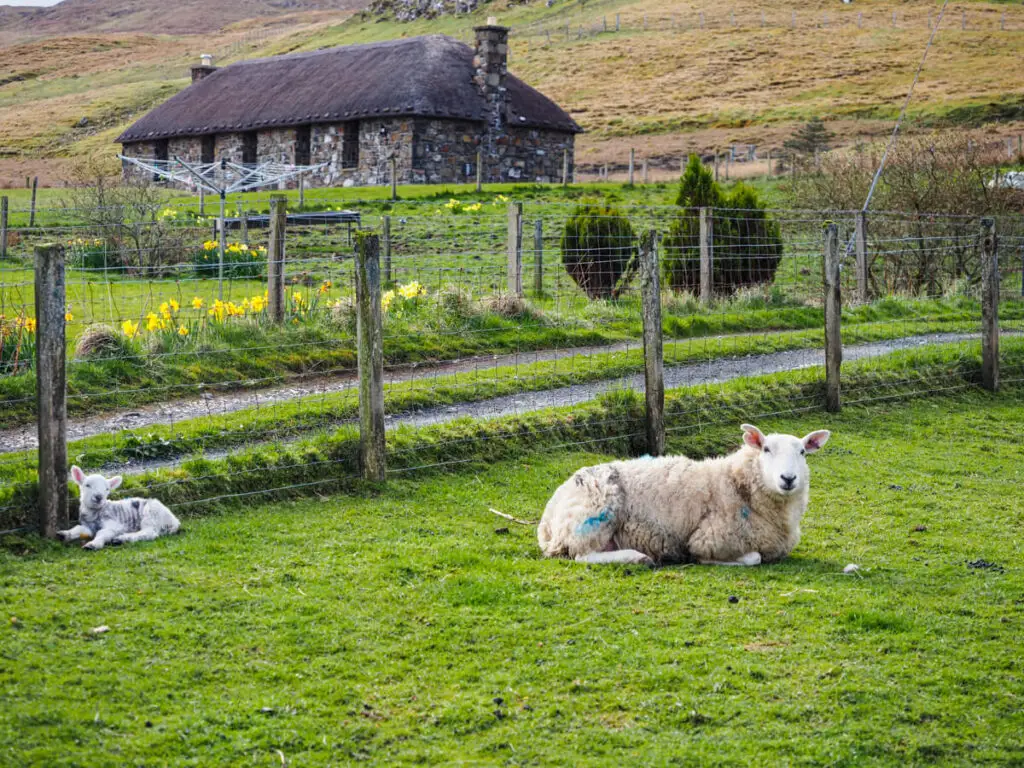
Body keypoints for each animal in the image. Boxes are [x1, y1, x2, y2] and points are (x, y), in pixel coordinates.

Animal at [540, 423, 827, 569]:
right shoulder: (708, 538)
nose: (788, 478)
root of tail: (547, 519)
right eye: (766, 449)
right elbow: (753, 558)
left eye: (802, 452)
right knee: (582, 555)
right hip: (591, 520)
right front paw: (705, 561)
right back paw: (638, 557)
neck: (736, 482)